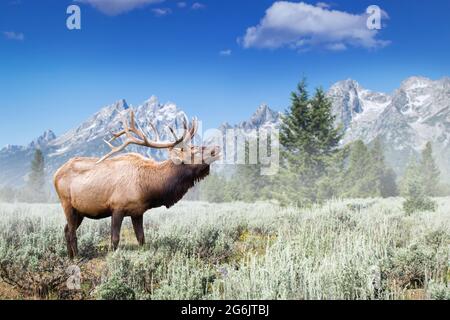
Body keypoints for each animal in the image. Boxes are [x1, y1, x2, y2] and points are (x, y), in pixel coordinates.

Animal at [53, 110, 221, 258]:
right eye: (194, 151)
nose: (217, 148)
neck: (148, 188)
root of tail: (55, 175)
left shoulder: (137, 212)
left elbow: (141, 239)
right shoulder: (117, 207)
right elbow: (115, 239)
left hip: (80, 211)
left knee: (66, 230)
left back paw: (70, 257)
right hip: (67, 204)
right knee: (72, 232)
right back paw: (77, 257)